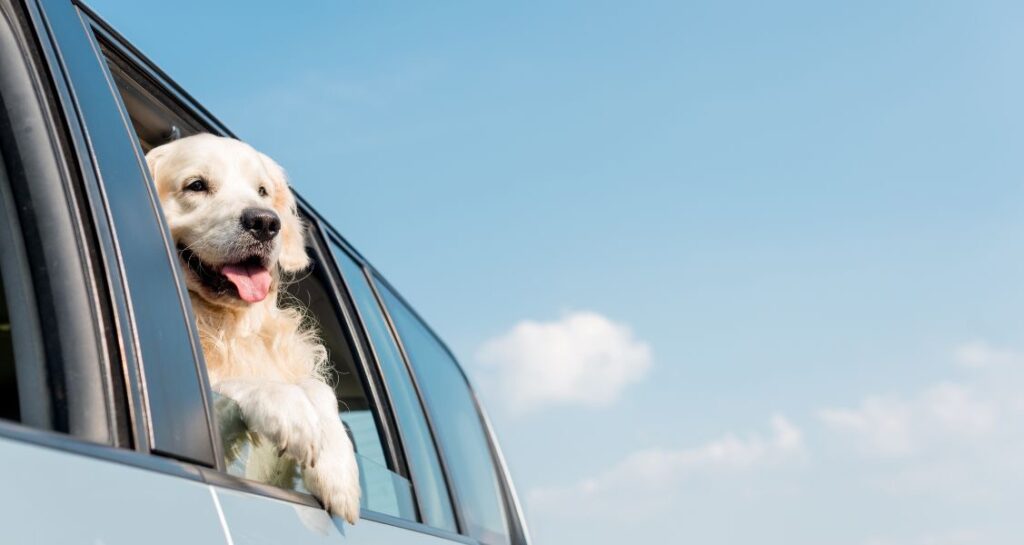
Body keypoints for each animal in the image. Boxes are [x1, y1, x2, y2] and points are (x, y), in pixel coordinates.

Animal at [144, 133, 360, 524]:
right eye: (196, 185)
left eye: (262, 191)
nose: (265, 223)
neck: (229, 326)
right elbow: (232, 383)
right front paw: (287, 406)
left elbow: (319, 389)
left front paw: (337, 471)